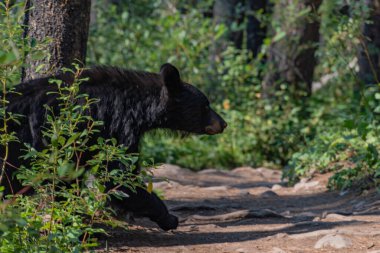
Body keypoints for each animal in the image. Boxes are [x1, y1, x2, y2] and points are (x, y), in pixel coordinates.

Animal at [0, 63, 227, 231]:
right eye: (205, 105)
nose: (223, 123)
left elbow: (70, 178)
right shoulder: (114, 126)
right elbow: (119, 176)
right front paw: (168, 218)